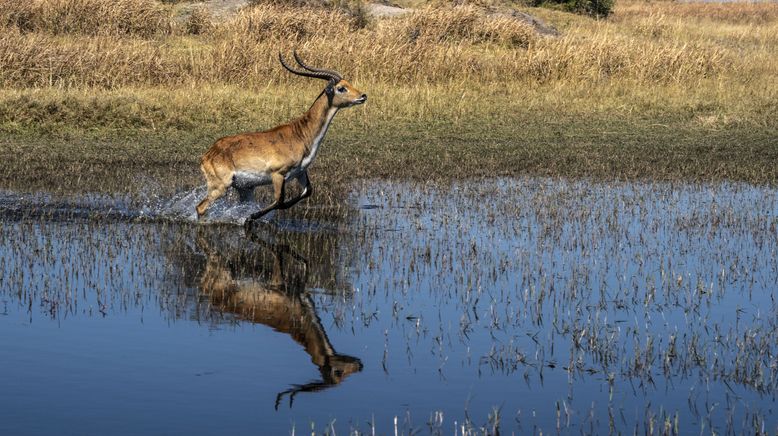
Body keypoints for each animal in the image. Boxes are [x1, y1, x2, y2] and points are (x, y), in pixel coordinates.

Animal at [192, 51, 366, 228]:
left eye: (348, 83)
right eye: (341, 88)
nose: (363, 96)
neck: (301, 134)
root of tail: (208, 154)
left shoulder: (300, 171)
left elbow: (306, 192)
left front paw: (249, 217)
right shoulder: (278, 174)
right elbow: (279, 200)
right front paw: (250, 217)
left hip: (245, 188)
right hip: (221, 186)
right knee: (200, 207)